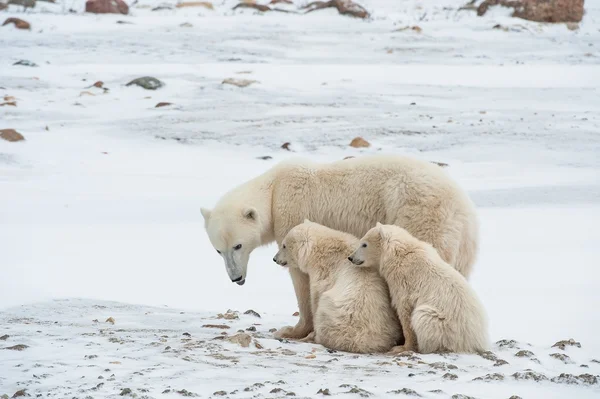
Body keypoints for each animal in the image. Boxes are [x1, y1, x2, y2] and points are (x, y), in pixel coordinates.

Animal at [200, 155, 478, 340]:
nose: (236, 278)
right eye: (218, 250)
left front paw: (292, 330)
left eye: (238, 245)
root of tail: (462, 208)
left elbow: (300, 277)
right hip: (464, 245)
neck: (273, 190)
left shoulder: (291, 213)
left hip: (418, 214)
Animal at [346, 223, 488, 354]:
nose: (351, 258)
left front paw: (402, 347)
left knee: (423, 316)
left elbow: (405, 309)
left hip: (446, 325)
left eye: (364, 244)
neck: (400, 253)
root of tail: (477, 340)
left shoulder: (404, 279)